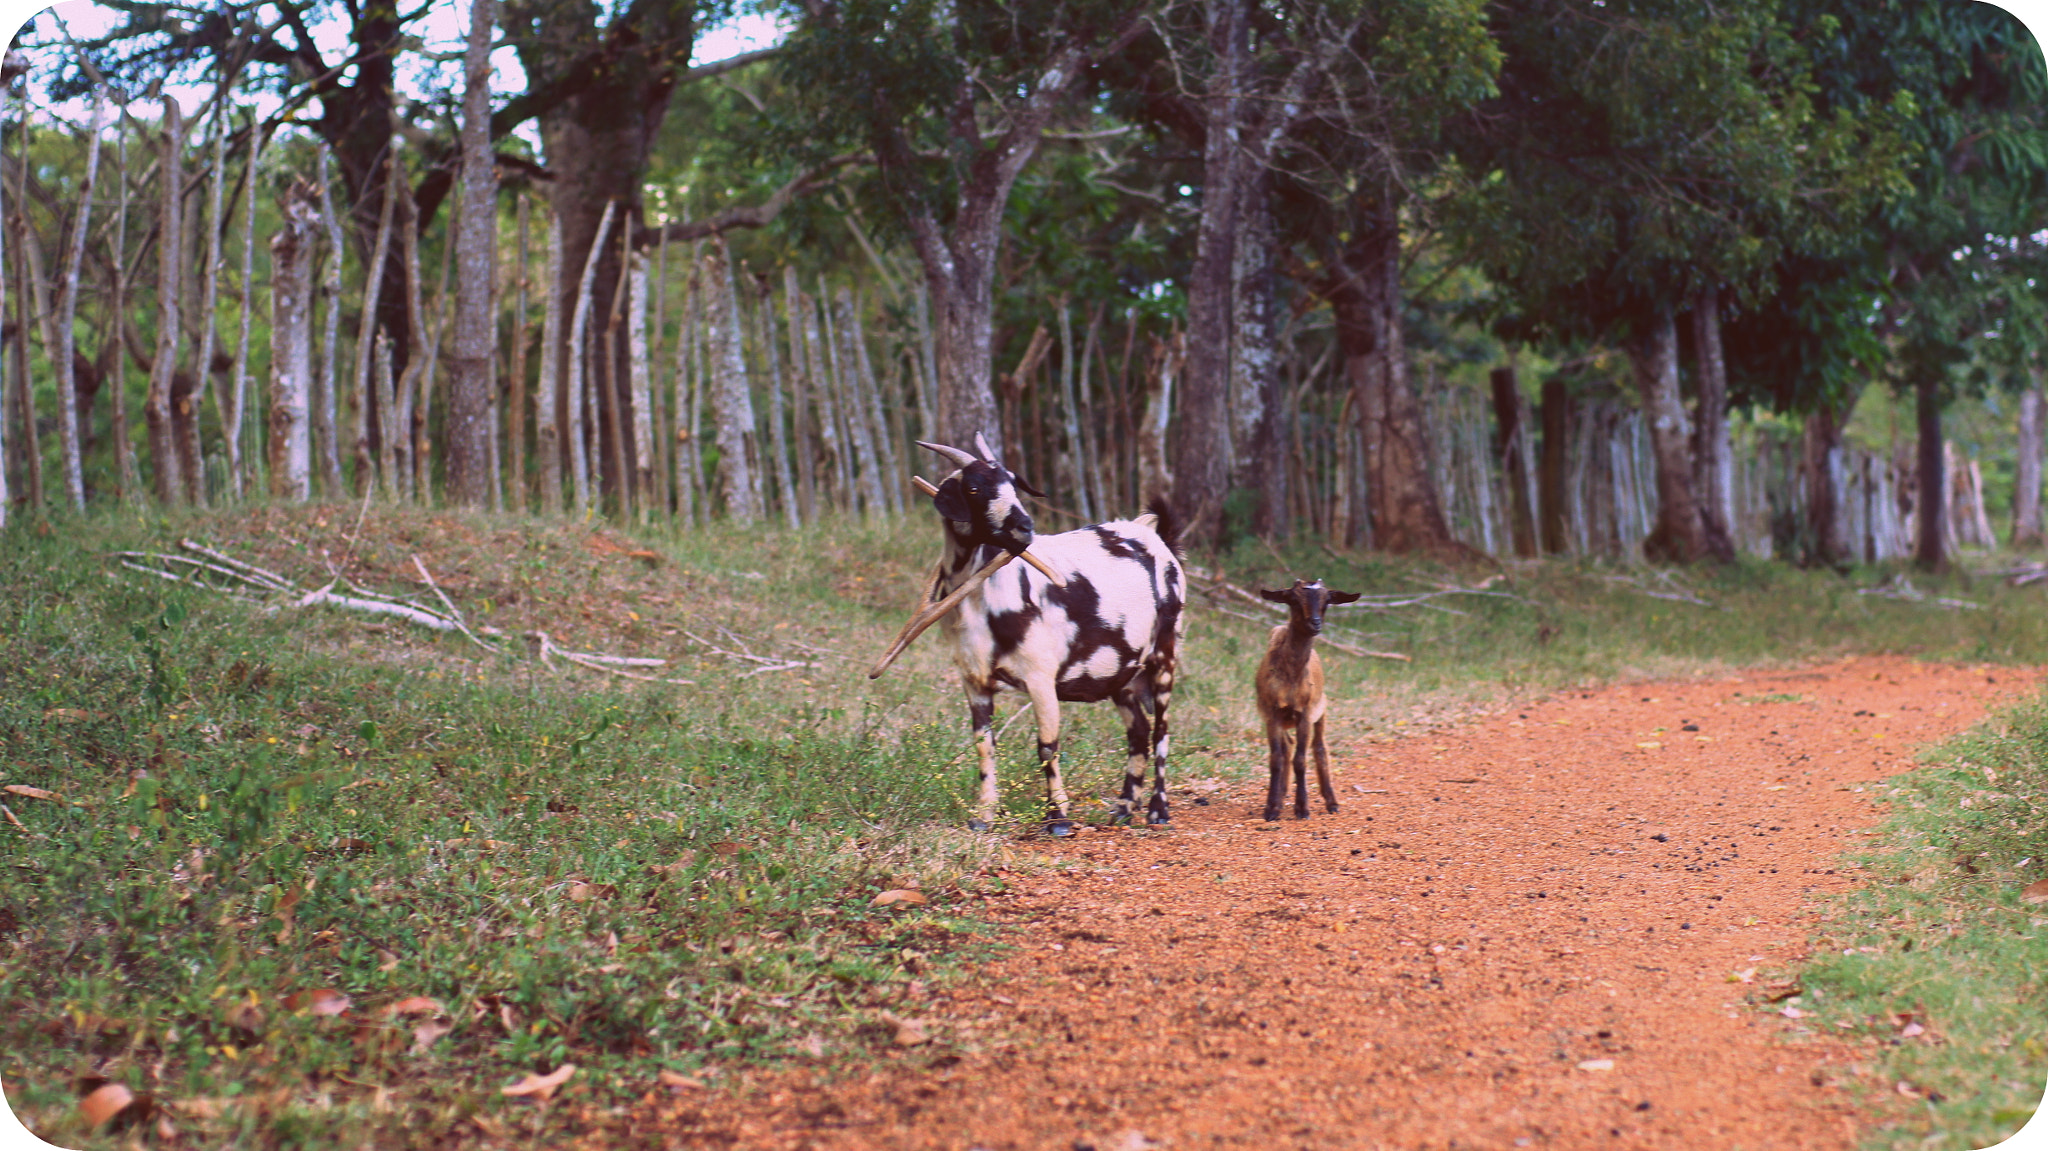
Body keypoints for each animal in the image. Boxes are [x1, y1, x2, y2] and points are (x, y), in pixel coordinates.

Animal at [864, 432, 1187, 831]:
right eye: (974, 487)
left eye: (1014, 484)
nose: (1024, 527)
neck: (983, 597)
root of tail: (1157, 538)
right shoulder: (973, 680)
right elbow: (984, 744)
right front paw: (984, 816)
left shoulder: (1040, 676)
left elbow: (1047, 744)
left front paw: (1058, 818)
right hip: (1122, 672)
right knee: (1139, 732)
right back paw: (1125, 808)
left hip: (1165, 654)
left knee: (1161, 730)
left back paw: (1158, 810)